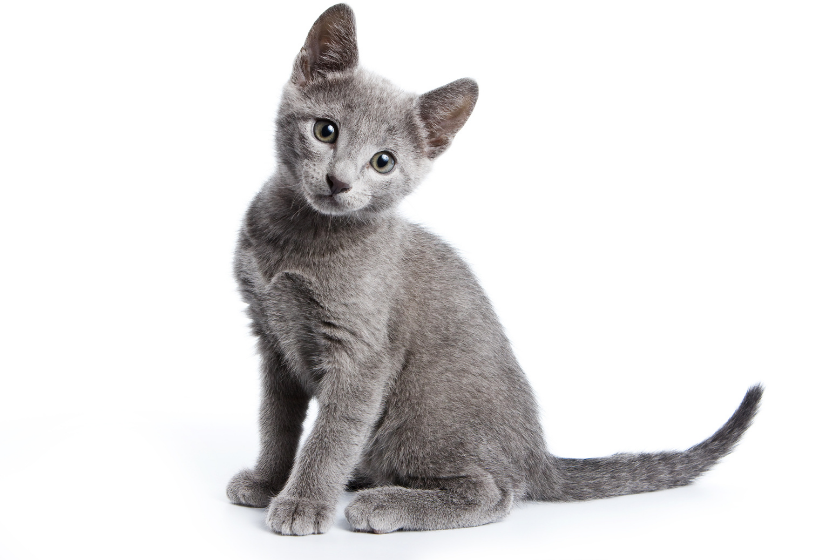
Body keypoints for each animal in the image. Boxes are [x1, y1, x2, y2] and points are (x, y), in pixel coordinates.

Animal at [226, 4, 764, 536]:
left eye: (383, 162)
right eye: (326, 130)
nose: (339, 181)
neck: (299, 240)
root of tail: (537, 456)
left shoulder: (361, 355)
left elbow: (331, 435)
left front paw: (303, 502)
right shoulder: (272, 339)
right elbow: (276, 421)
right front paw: (268, 481)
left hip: (422, 414)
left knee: (495, 492)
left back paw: (384, 503)